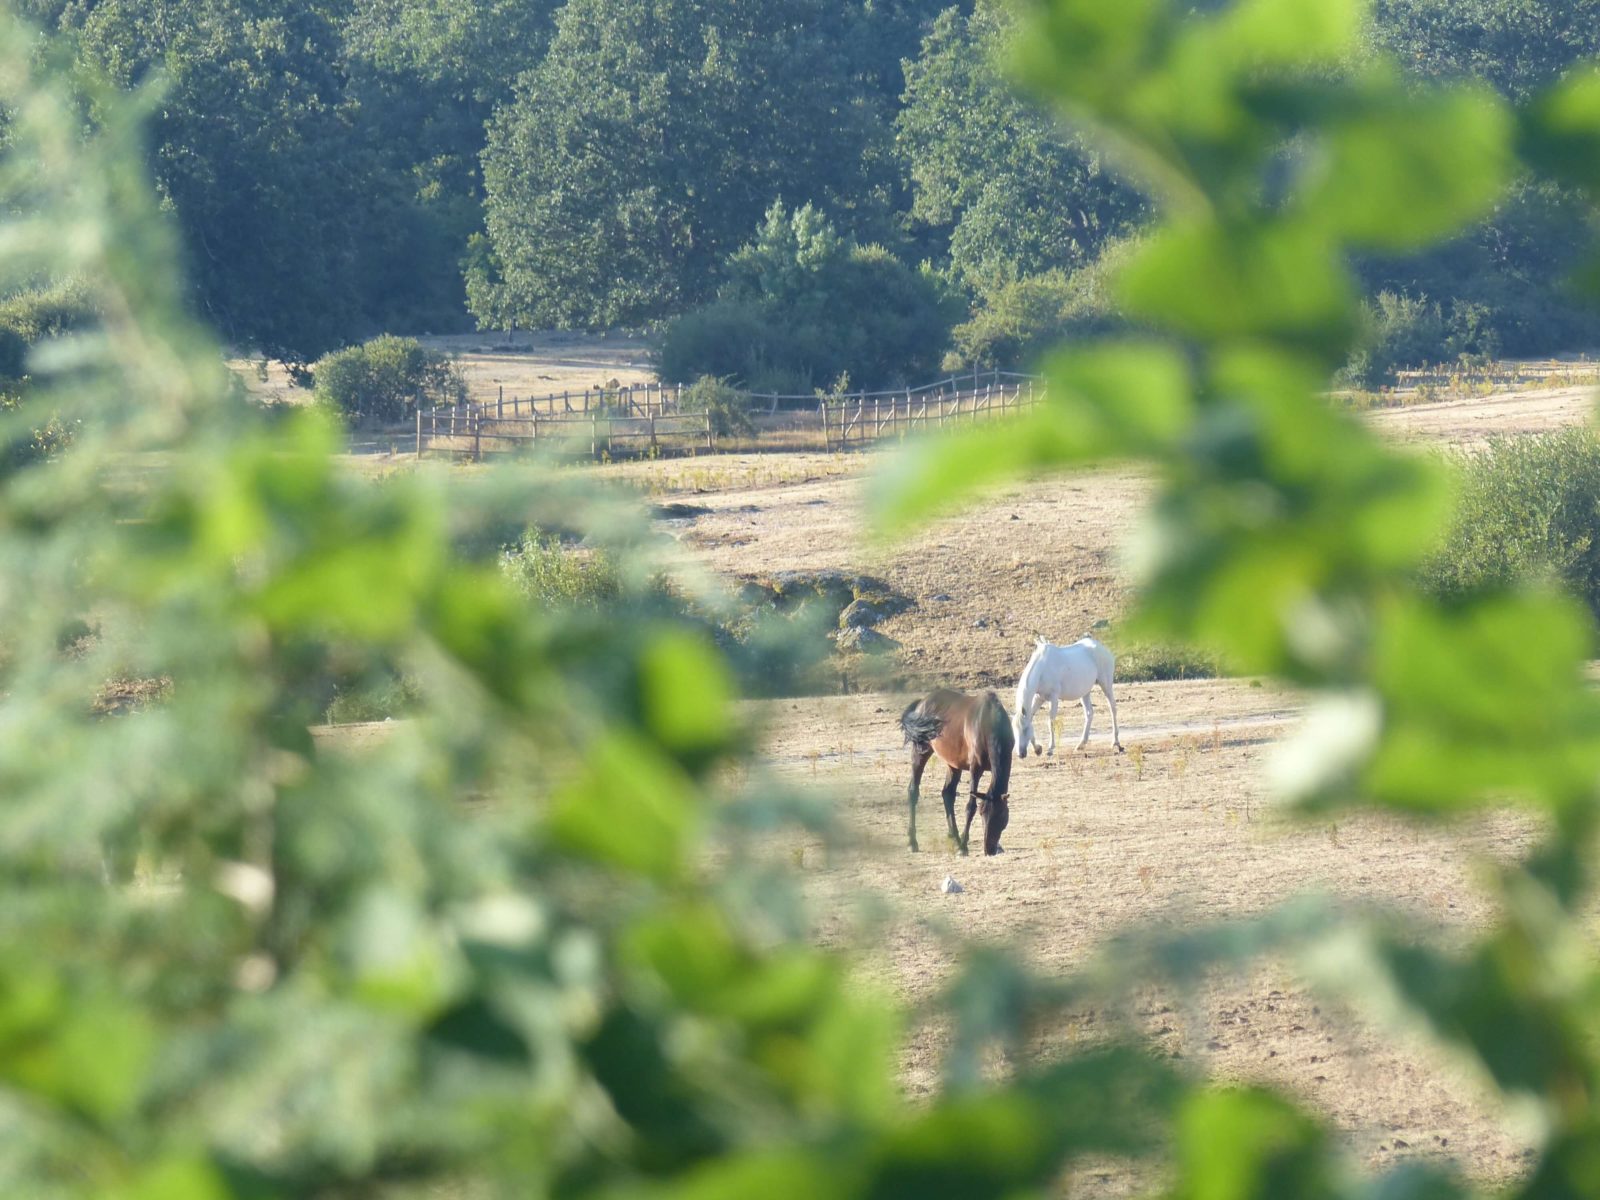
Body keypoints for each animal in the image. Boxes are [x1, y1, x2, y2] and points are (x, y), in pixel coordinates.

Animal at [902, 691, 1011, 857]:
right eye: (982, 814)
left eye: (1002, 817)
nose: (990, 849)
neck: (989, 722)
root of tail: (922, 702)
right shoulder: (975, 768)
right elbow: (970, 807)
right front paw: (963, 847)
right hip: (920, 752)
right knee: (913, 791)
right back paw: (912, 842)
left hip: (953, 764)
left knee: (947, 794)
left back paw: (954, 838)